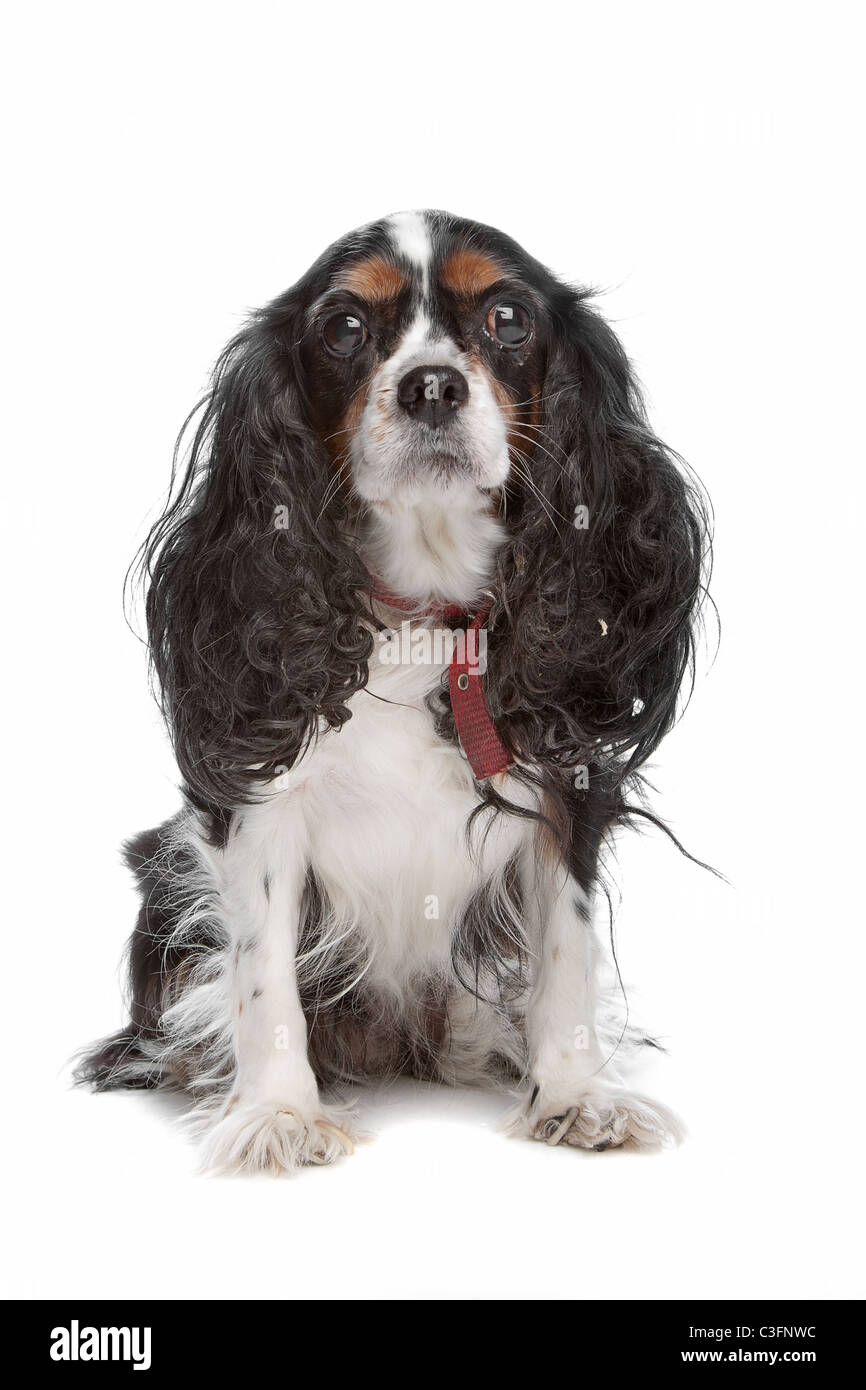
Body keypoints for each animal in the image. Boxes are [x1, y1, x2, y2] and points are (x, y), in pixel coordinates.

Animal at [76, 208, 711, 1173]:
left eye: (508, 320)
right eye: (343, 328)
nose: (431, 386)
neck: (428, 612)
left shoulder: (567, 778)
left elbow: (565, 953)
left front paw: (574, 1097)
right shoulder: (260, 798)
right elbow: (262, 974)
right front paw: (279, 1112)